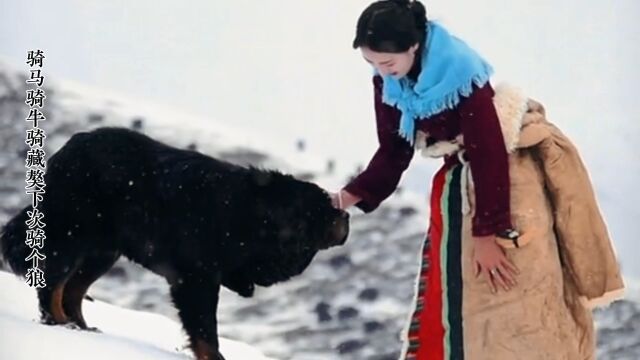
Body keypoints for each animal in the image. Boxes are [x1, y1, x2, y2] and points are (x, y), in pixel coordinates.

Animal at [1, 127, 350, 360]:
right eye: (325, 209)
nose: (346, 214)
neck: (253, 216)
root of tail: (68, 149)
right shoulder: (197, 278)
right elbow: (205, 329)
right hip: (73, 234)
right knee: (53, 285)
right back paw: (60, 324)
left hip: (102, 252)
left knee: (73, 290)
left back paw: (83, 328)